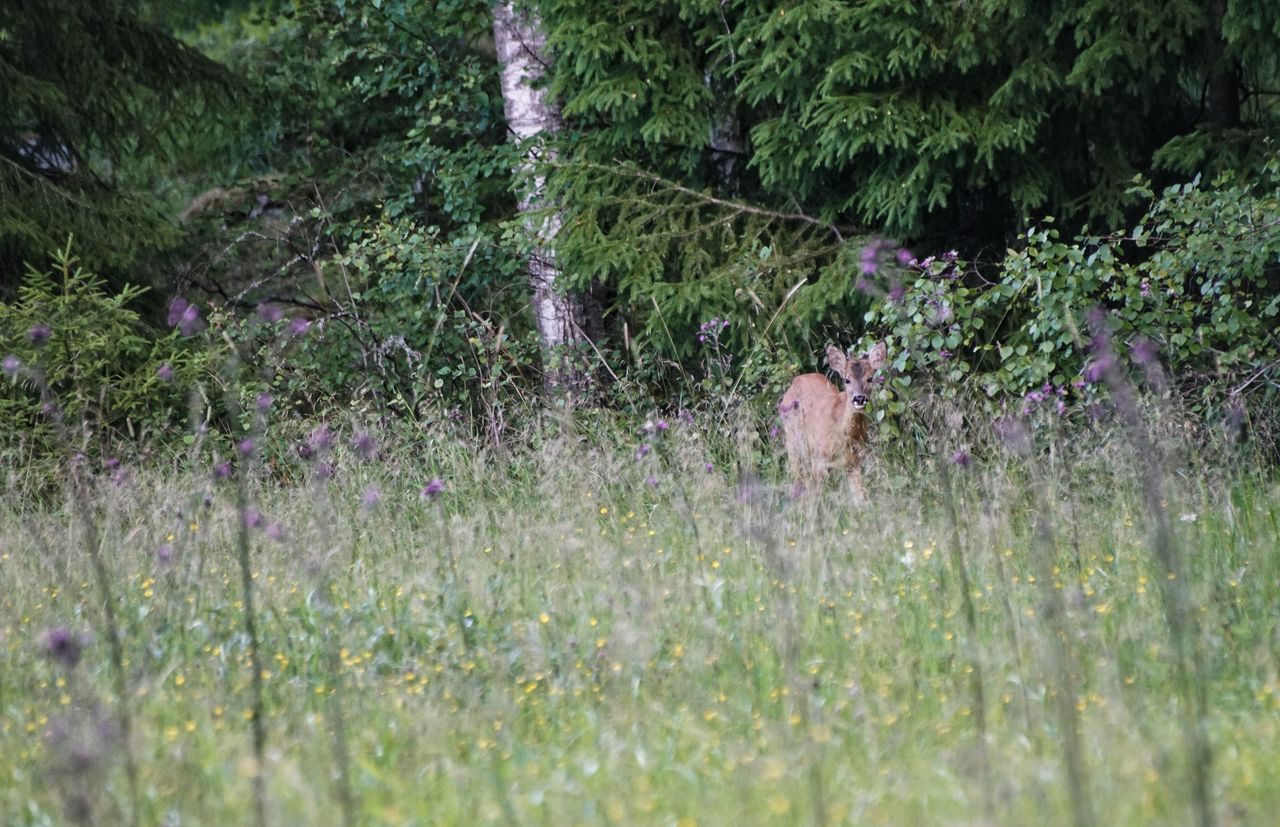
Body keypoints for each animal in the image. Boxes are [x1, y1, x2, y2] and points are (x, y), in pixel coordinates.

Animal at [773, 343, 885, 499]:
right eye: (847, 379)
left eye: (869, 378)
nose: (859, 399)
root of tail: (795, 381)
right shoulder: (818, 460)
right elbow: (816, 497)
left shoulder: (854, 462)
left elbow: (861, 498)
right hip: (792, 441)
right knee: (798, 477)